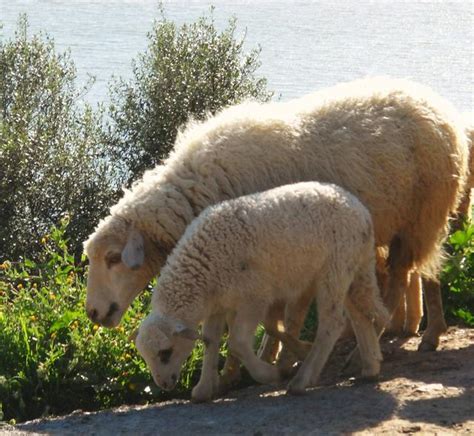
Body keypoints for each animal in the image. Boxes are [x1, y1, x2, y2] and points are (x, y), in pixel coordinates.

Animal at [84, 76, 466, 356]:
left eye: (114, 258)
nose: (93, 313)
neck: (203, 184)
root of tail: (433, 102)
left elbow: (277, 317)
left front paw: (270, 357)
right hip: (402, 222)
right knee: (412, 272)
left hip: (423, 214)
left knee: (403, 274)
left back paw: (397, 333)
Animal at [133, 181, 388, 398]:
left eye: (165, 353)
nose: (164, 385)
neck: (204, 271)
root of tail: (361, 212)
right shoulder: (219, 303)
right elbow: (210, 340)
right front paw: (204, 389)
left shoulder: (254, 297)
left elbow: (237, 342)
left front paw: (268, 374)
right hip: (351, 267)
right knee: (361, 313)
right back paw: (370, 365)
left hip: (334, 268)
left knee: (332, 323)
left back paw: (302, 380)